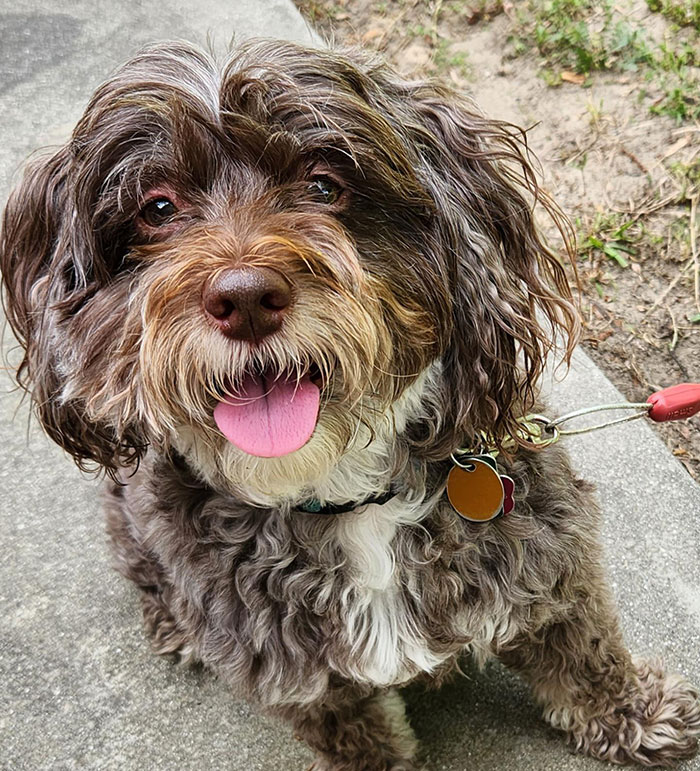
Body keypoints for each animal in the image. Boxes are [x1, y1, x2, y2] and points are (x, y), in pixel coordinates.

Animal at [1, 42, 700, 771]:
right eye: (157, 208)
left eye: (324, 186)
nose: (244, 297)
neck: (346, 497)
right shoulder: (296, 673)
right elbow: (354, 734)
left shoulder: (544, 551)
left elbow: (585, 650)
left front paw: (633, 716)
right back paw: (173, 620)